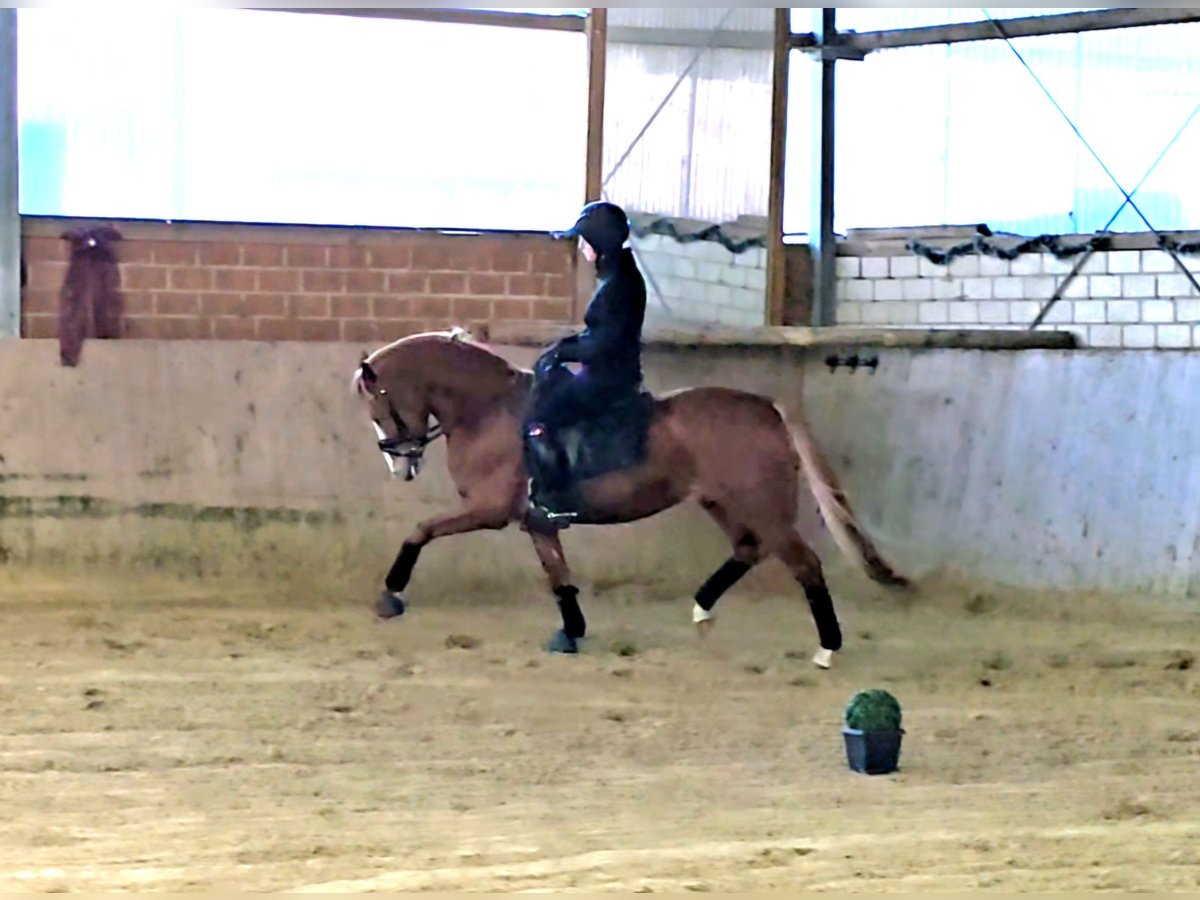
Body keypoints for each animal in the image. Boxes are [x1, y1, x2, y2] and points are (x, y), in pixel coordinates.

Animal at [350, 328, 902, 667]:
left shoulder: (488, 510)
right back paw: (702, 609)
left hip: (761, 508)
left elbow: (420, 531)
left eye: (379, 406)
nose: (401, 464)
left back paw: (827, 649)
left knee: (804, 564)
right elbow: (559, 577)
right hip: (722, 503)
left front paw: (390, 594)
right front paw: (571, 632)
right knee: (749, 549)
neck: (489, 410)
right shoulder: (538, 521)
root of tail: (767, 409)